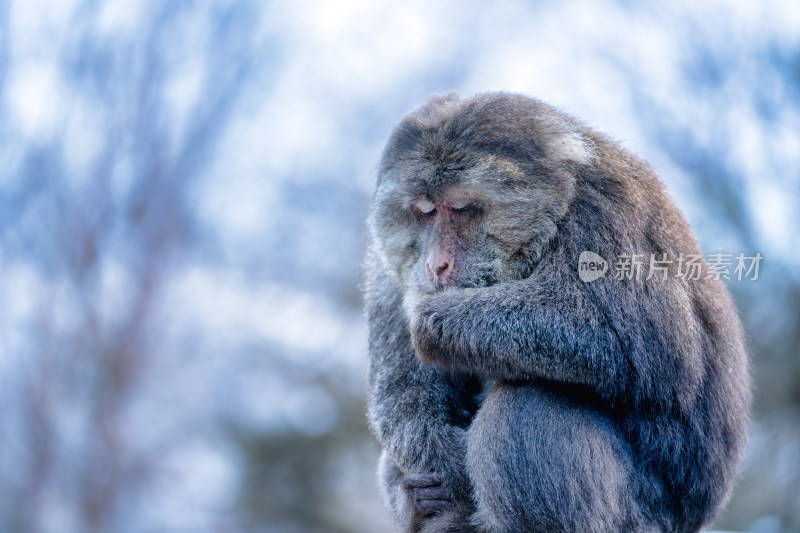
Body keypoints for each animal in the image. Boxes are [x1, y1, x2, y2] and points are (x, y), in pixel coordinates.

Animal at [366, 92, 752, 532]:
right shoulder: (387, 268)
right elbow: (400, 390)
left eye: (460, 207)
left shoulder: (604, 213)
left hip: (640, 516)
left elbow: (654, 351)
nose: (435, 265)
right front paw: (440, 469)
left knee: (526, 407)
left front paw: (433, 319)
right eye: (425, 211)